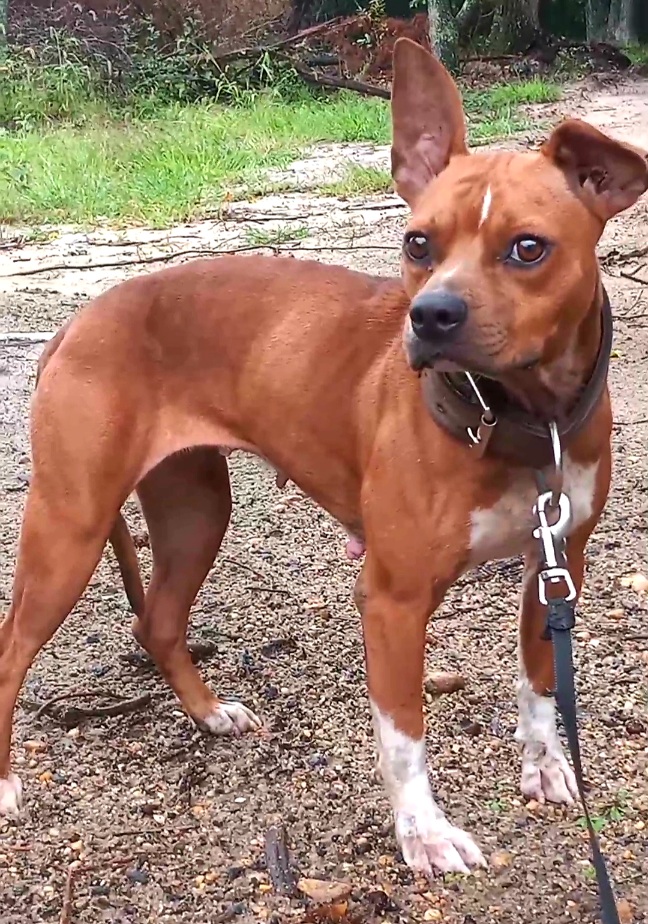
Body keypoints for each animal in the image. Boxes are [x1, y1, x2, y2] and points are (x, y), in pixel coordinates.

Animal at [1, 38, 647, 878]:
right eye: (418, 243)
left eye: (528, 248)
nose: (431, 316)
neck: (519, 420)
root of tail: (77, 322)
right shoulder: (393, 599)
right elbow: (404, 734)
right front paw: (424, 833)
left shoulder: (559, 560)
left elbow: (539, 686)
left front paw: (544, 767)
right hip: (70, 529)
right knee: (12, 650)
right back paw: (5, 783)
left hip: (195, 512)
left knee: (160, 624)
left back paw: (209, 713)